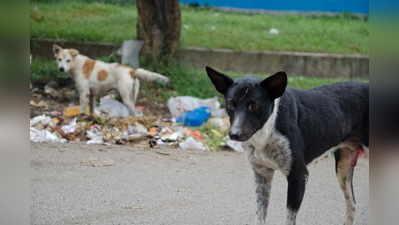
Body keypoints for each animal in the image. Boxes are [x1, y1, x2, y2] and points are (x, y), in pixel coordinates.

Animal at [206, 66, 368, 225]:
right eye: (230, 104)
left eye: (253, 105)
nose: (234, 134)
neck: (268, 129)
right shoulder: (262, 175)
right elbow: (260, 215)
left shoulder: (298, 176)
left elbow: (289, 218)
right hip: (343, 167)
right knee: (352, 204)